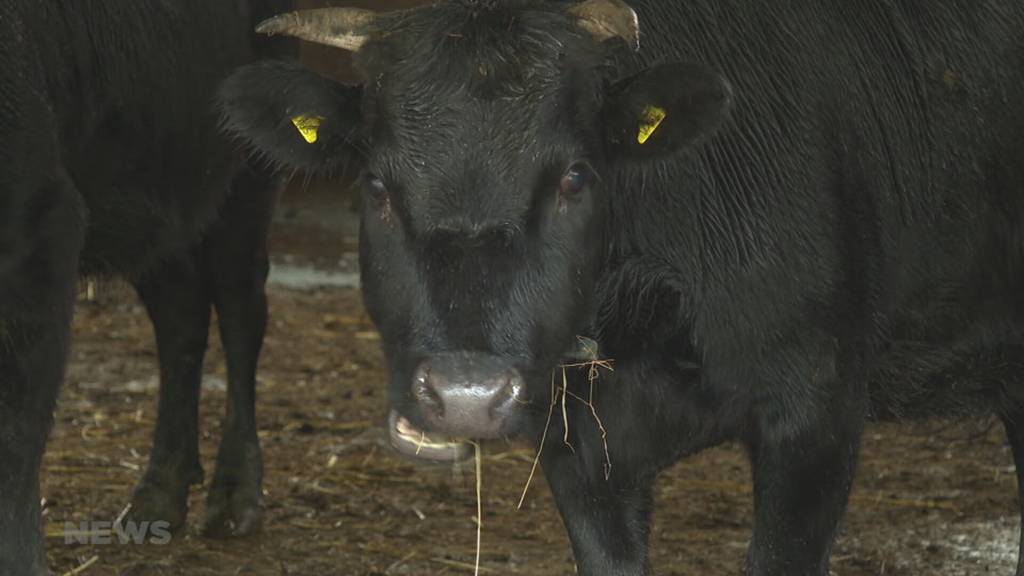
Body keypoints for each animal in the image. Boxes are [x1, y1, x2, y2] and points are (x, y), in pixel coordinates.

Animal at [2, 2, 292, 569]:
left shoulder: (43, 236)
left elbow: (16, 435)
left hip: (248, 168)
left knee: (241, 308)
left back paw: (235, 497)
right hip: (154, 194)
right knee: (181, 315)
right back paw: (160, 492)